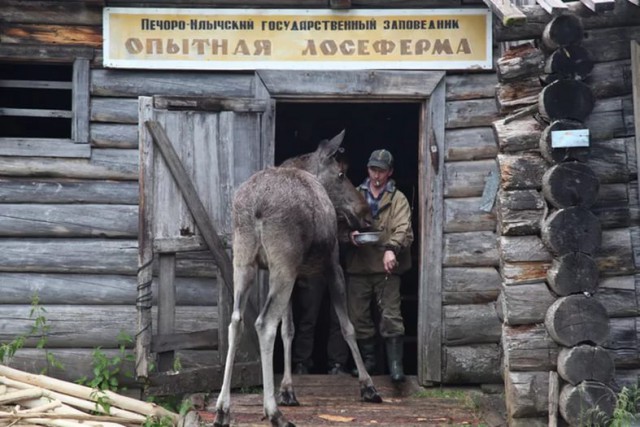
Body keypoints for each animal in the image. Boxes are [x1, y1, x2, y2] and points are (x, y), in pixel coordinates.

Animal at [213, 130, 382, 427]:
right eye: (341, 174)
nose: (365, 214)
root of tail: (256, 207)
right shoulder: (332, 266)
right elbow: (347, 326)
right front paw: (368, 385)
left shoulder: (285, 273)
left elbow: (289, 329)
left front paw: (288, 390)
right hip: (284, 263)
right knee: (264, 324)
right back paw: (273, 413)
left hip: (244, 262)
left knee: (236, 321)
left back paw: (223, 409)